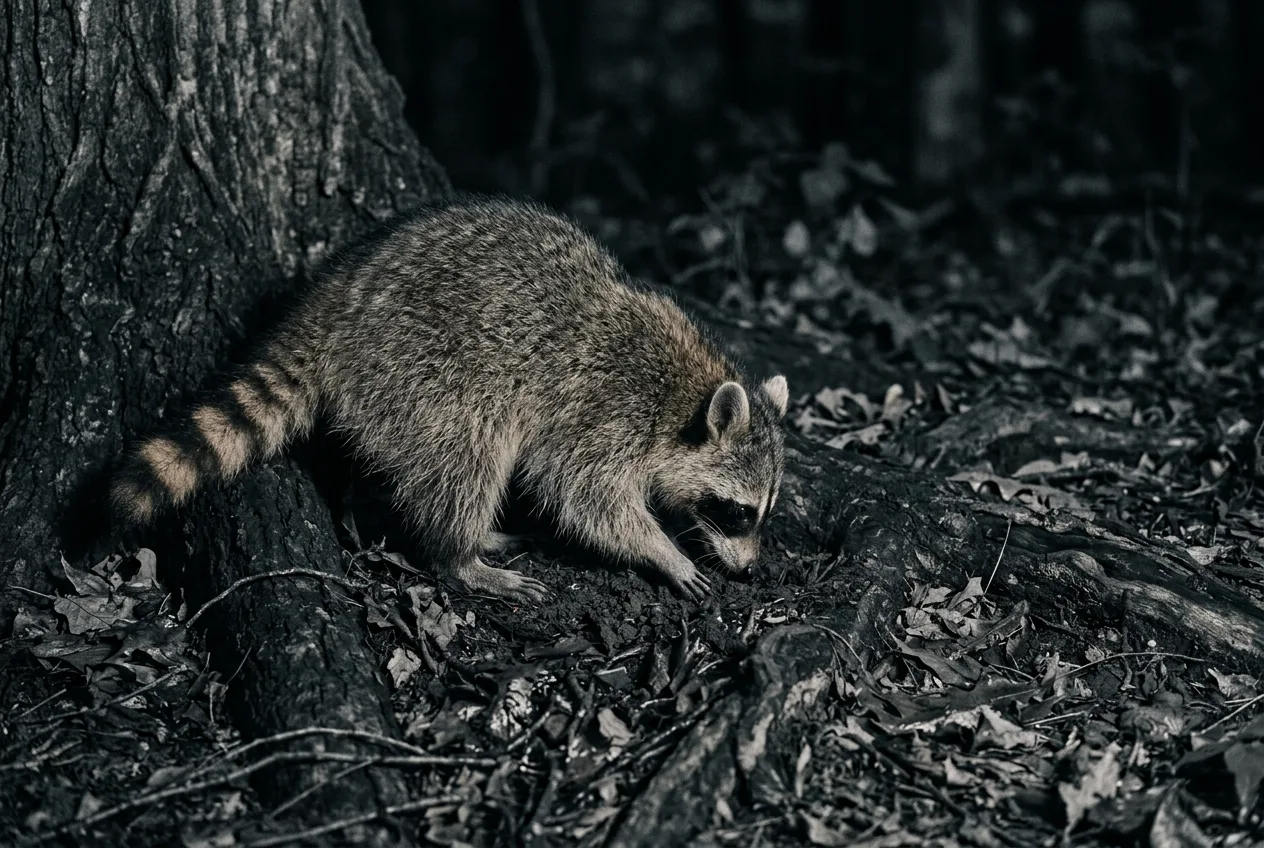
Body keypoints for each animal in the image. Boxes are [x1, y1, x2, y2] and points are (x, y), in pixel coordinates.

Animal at [111, 195, 788, 603]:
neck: (685, 394)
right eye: (737, 512)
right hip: (426, 372)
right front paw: (661, 550)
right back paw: (460, 554)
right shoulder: (602, 413)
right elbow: (587, 499)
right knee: (468, 455)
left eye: (763, 512)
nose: (751, 570)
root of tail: (330, 307)